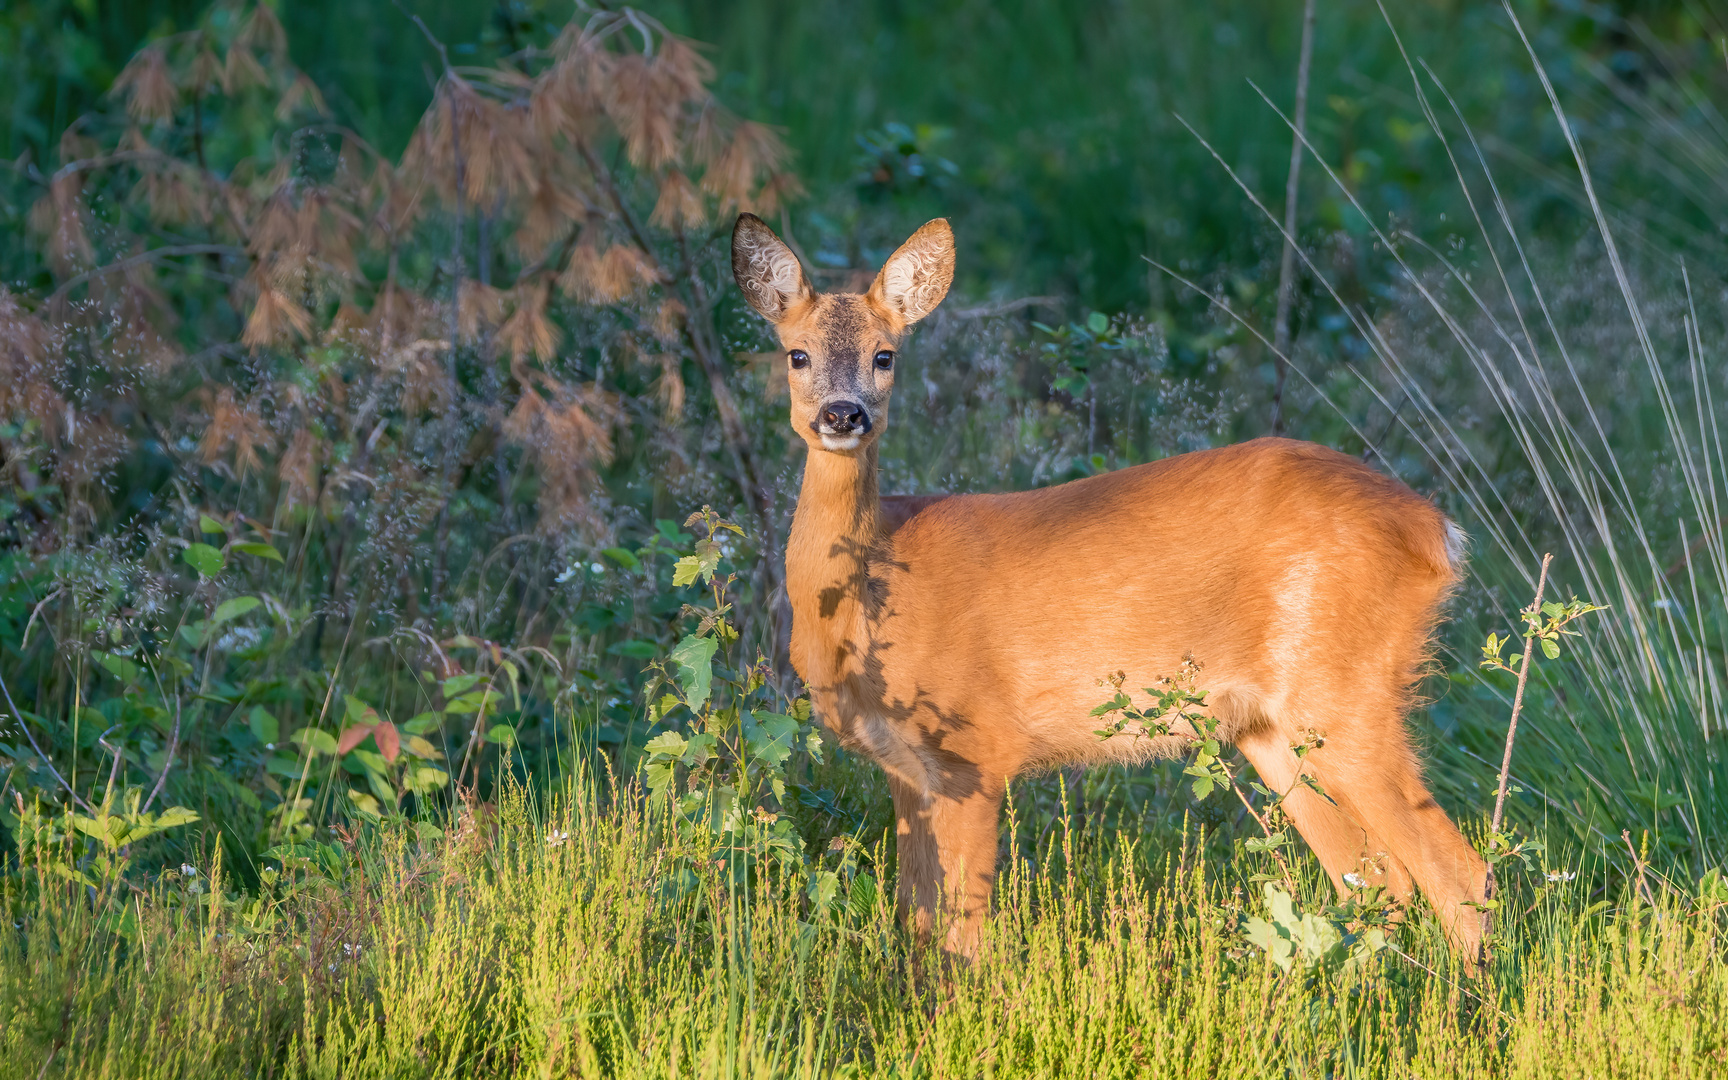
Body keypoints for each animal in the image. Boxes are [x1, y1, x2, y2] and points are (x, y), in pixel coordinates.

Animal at [725, 210, 1486, 960]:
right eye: (796, 354)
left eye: (886, 355)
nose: (843, 415)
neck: (873, 590)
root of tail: (1433, 530)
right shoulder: (906, 770)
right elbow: (920, 928)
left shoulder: (974, 750)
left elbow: (965, 938)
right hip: (1271, 728)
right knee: (1374, 880)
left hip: (1347, 691)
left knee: (1457, 871)